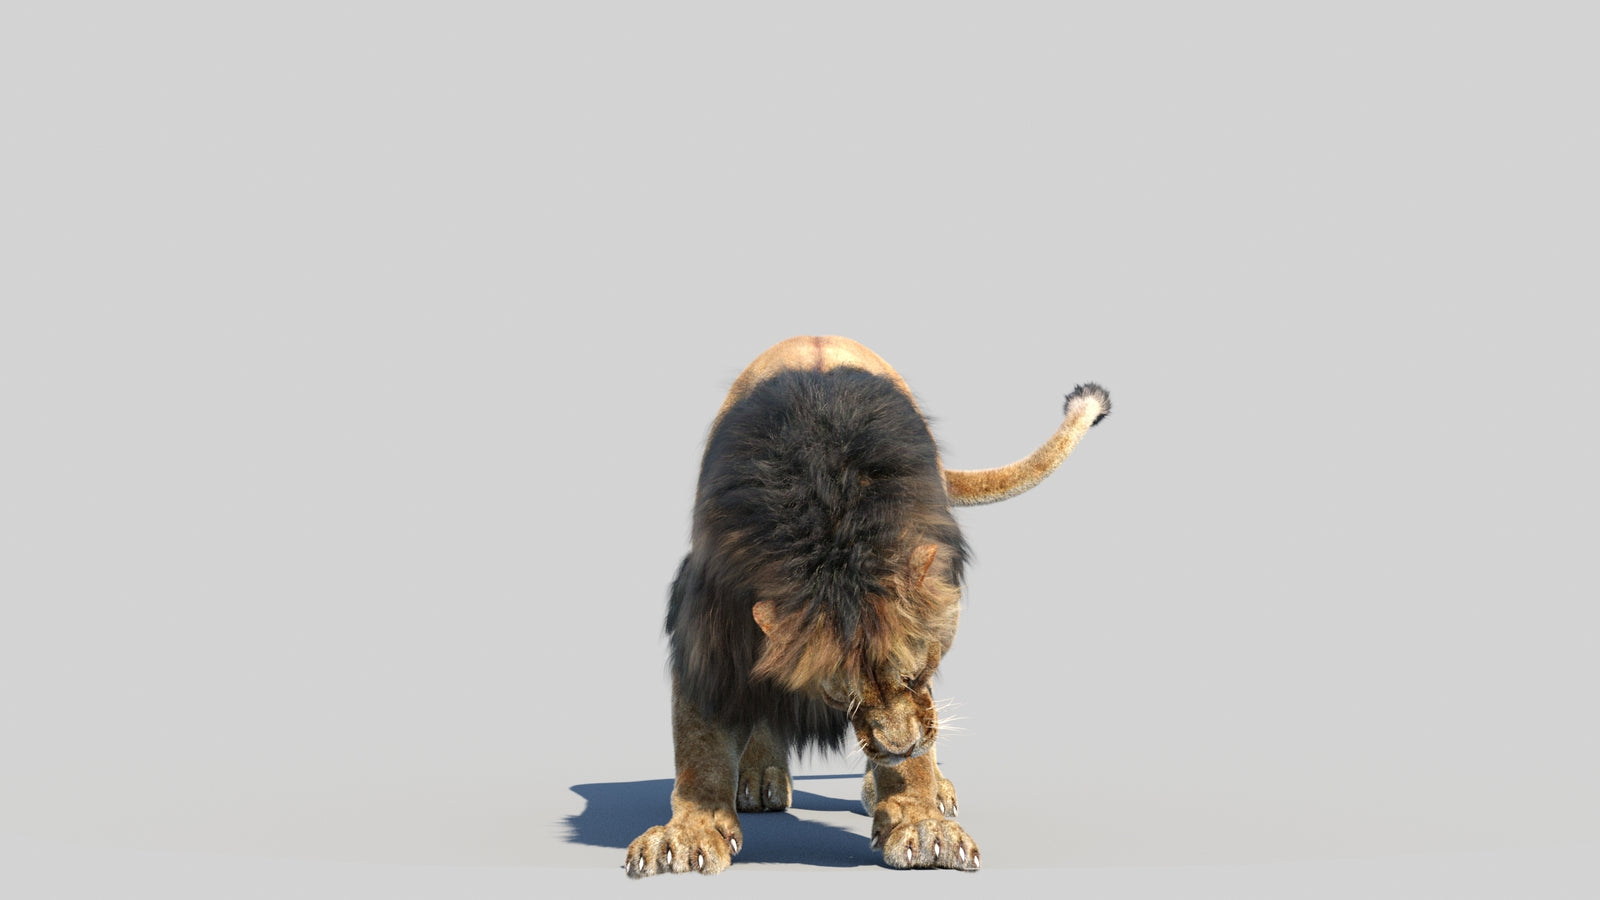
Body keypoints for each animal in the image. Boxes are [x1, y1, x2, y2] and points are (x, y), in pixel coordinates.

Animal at [624, 336, 1109, 877]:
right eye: (842, 699)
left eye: (919, 673)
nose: (897, 748)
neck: (835, 532)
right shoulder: (709, 622)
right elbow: (701, 745)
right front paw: (689, 833)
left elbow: (919, 747)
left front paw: (922, 824)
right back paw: (761, 775)